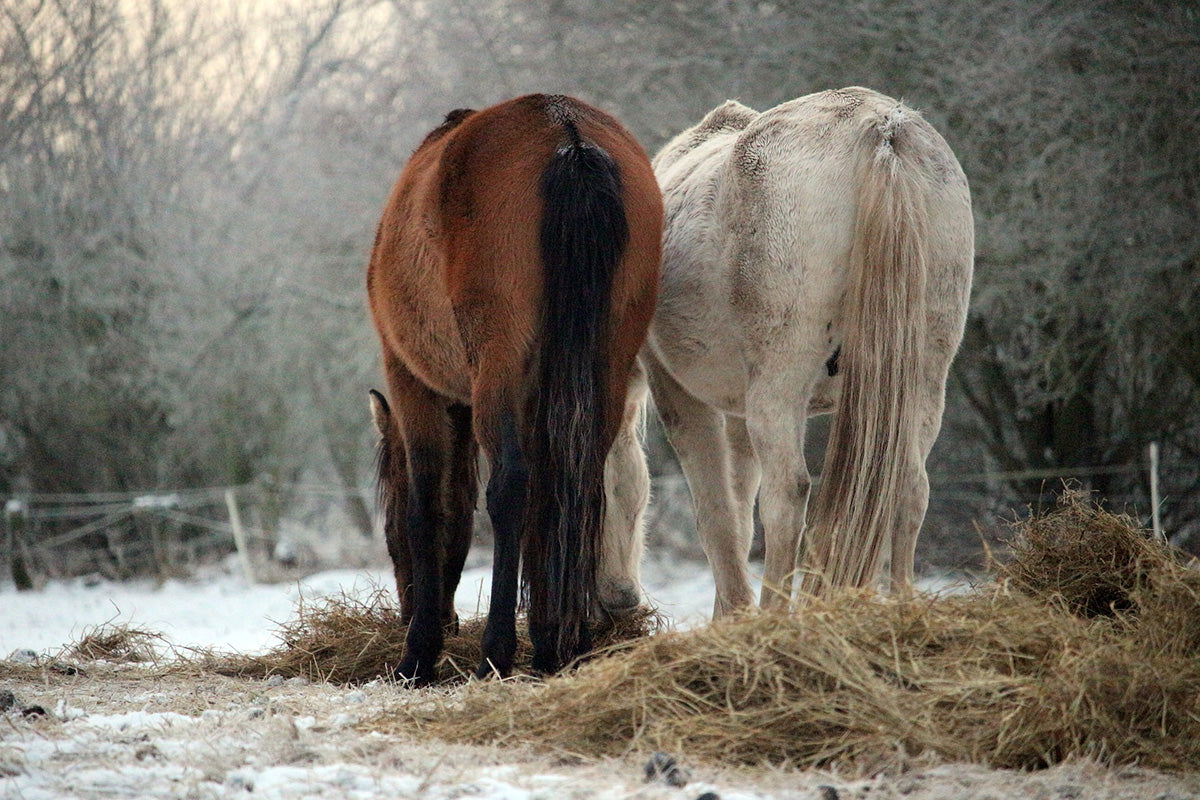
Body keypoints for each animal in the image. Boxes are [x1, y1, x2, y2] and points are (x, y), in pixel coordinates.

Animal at [367, 94, 662, 681]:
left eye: (388, 537)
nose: (409, 611)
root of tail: (568, 135)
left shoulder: (413, 381)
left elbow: (428, 502)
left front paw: (420, 652)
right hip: (606, 360)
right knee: (575, 482)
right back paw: (561, 645)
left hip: (497, 367)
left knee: (511, 486)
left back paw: (496, 652)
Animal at [600, 87, 974, 614]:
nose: (618, 599)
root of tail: (881, 127)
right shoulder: (738, 413)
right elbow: (738, 512)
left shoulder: (678, 394)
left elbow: (717, 516)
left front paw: (735, 615)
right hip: (921, 382)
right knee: (909, 487)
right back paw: (903, 603)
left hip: (780, 386)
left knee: (788, 497)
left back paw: (776, 615)